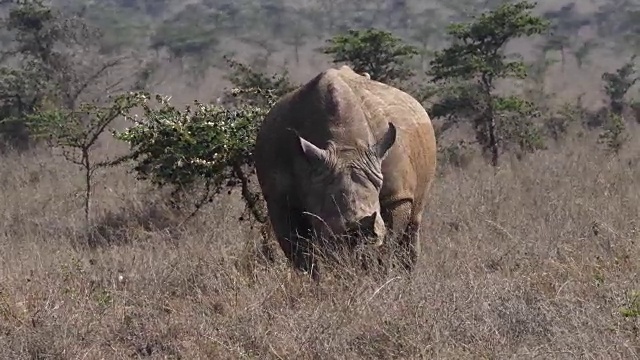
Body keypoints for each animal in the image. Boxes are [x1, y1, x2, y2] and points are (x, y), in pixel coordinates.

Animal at [252, 64, 438, 278]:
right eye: (330, 230)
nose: (360, 246)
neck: (345, 146)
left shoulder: (396, 195)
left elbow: (389, 242)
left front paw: (381, 276)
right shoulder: (280, 200)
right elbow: (300, 252)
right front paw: (316, 282)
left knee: (414, 222)